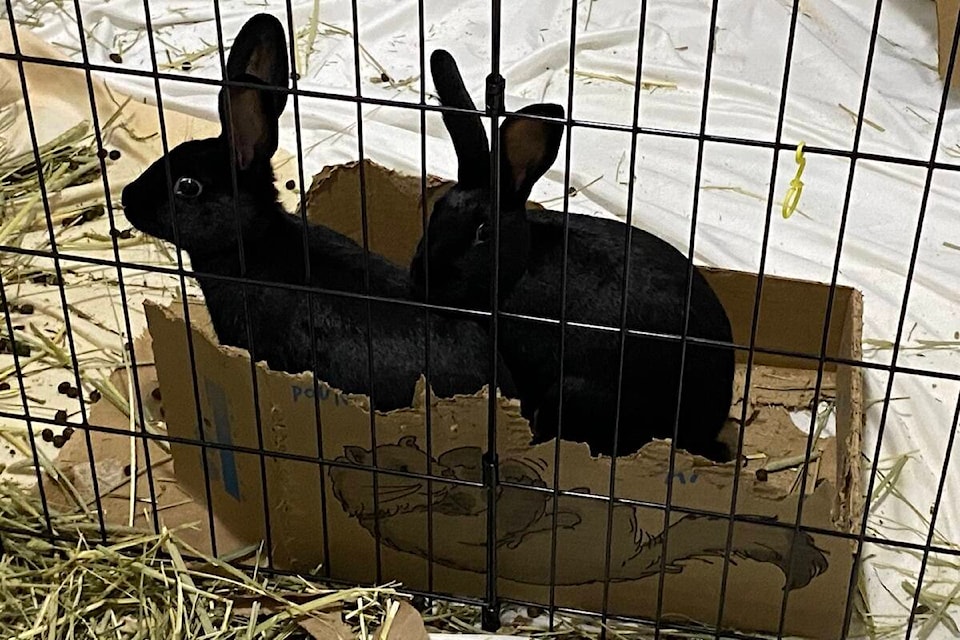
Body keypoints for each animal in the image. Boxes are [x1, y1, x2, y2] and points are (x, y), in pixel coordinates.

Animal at [410, 50, 736, 460]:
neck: (518, 268)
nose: (420, 280)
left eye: (483, 232)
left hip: (577, 396)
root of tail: (705, 431)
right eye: (436, 209)